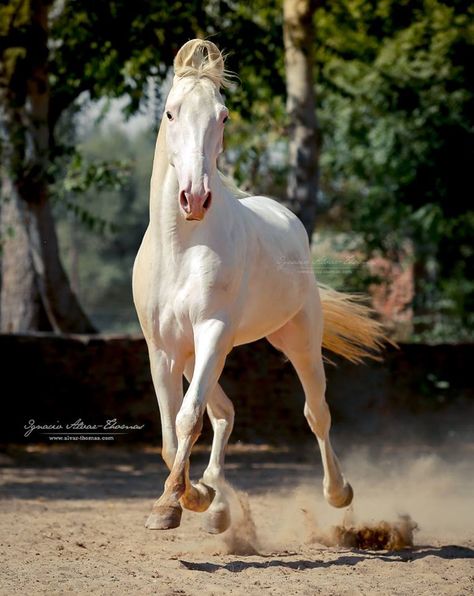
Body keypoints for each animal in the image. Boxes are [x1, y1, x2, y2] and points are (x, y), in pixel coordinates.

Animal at [133, 38, 386, 532]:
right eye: (171, 112)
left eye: (223, 116)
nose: (195, 198)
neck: (181, 249)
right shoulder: (163, 349)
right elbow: (171, 434)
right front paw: (188, 498)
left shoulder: (213, 332)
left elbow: (188, 418)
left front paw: (175, 503)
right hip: (193, 357)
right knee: (224, 413)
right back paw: (215, 503)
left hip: (297, 340)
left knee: (315, 413)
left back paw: (338, 492)